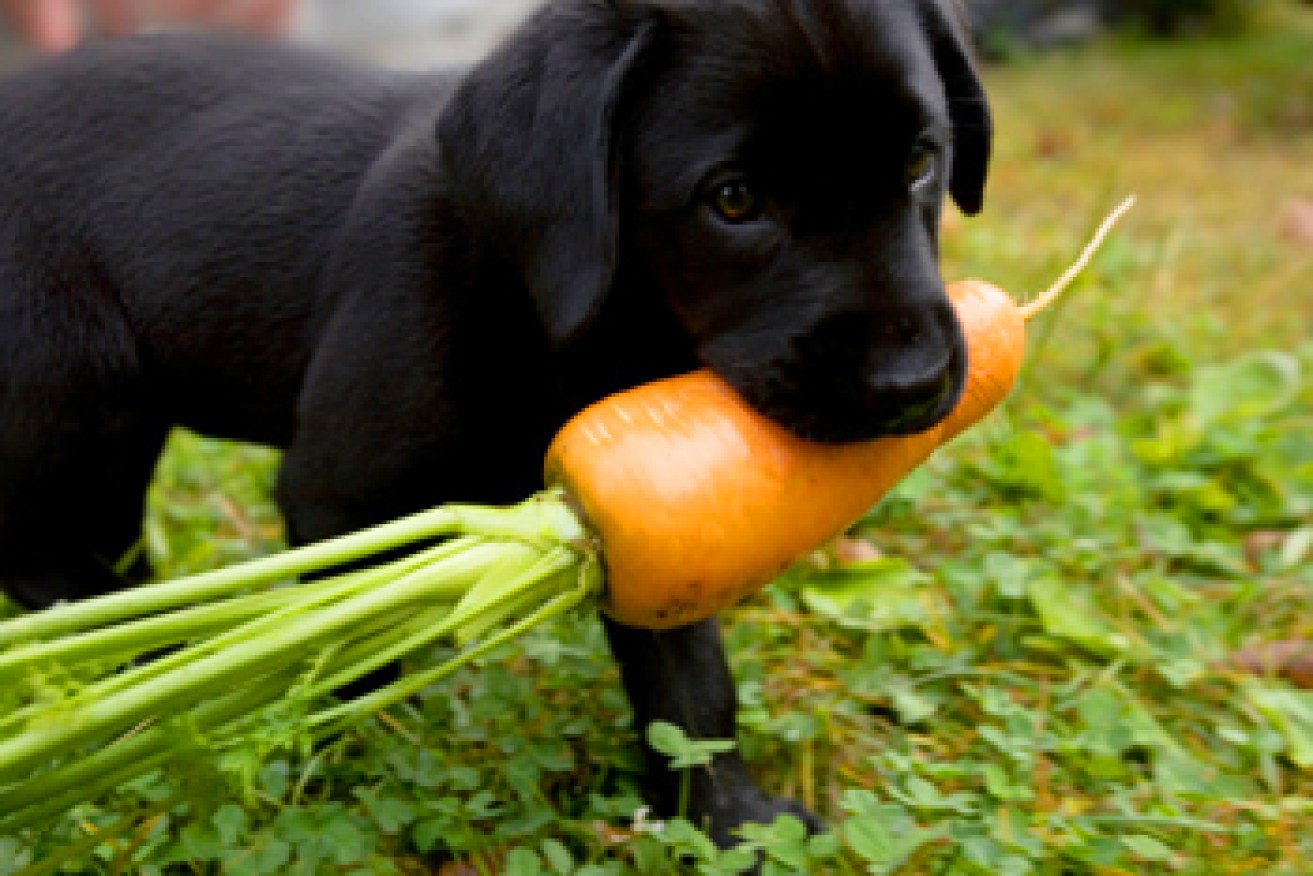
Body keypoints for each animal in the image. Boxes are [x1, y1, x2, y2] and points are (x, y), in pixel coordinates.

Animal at [0, 0, 987, 851]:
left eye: (919, 163)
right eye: (734, 200)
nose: (911, 382)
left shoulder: (644, 505)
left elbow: (689, 682)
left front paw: (725, 820)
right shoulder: (337, 496)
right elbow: (354, 662)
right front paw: (342, 786)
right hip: (72, 390)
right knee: (47, 561)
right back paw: (154, 667)